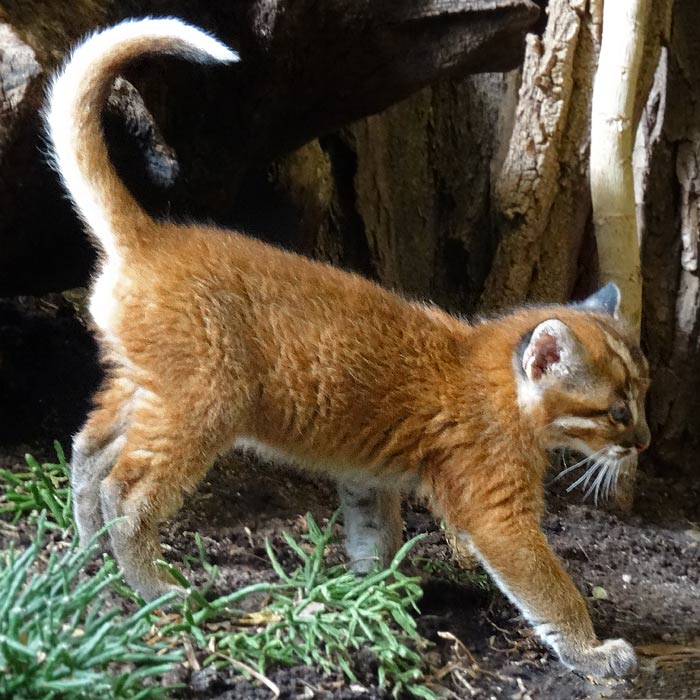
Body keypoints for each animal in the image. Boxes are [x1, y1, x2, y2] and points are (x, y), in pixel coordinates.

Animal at [45, 19, 652, 680]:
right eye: (617, 411)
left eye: (644, 394)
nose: (644, 442)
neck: (493, 372)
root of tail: (150, 235)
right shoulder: (497, 508)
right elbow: (550, 588)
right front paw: (594, 653)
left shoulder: (368, 476)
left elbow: (374, 536)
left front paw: (373, 594)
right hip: (201, 404)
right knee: (125, 490)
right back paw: (156, 589)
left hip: (141, 383)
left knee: (86, 451)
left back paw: (88, 557)